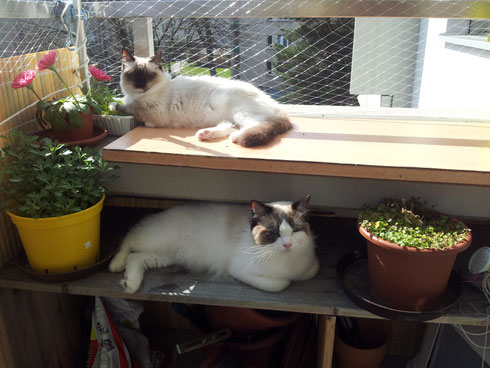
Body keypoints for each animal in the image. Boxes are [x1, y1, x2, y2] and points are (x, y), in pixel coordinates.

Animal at [108, 196, 320, 294]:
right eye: (275, 232)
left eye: (294, 231)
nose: (288, 245)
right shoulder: (240, 270)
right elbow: (282, 283)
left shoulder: (311, 268)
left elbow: (310, 272)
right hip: (156, 239)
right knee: (129, 238)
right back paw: (116, 265)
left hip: (164, 256)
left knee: (135, 257)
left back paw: (130, 282)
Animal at [111, 48, 292, 147]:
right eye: (134, 75)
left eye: (148, 76)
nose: (141, 85)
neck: (138, 95)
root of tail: (279, 107)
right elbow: (126, 103)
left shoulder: (152, 111)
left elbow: (127, 107)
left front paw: (112, 106)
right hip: (228, 116)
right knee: (229, 126)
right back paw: (205, 134)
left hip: (240, 113)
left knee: (254, 126)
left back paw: (235, 138)